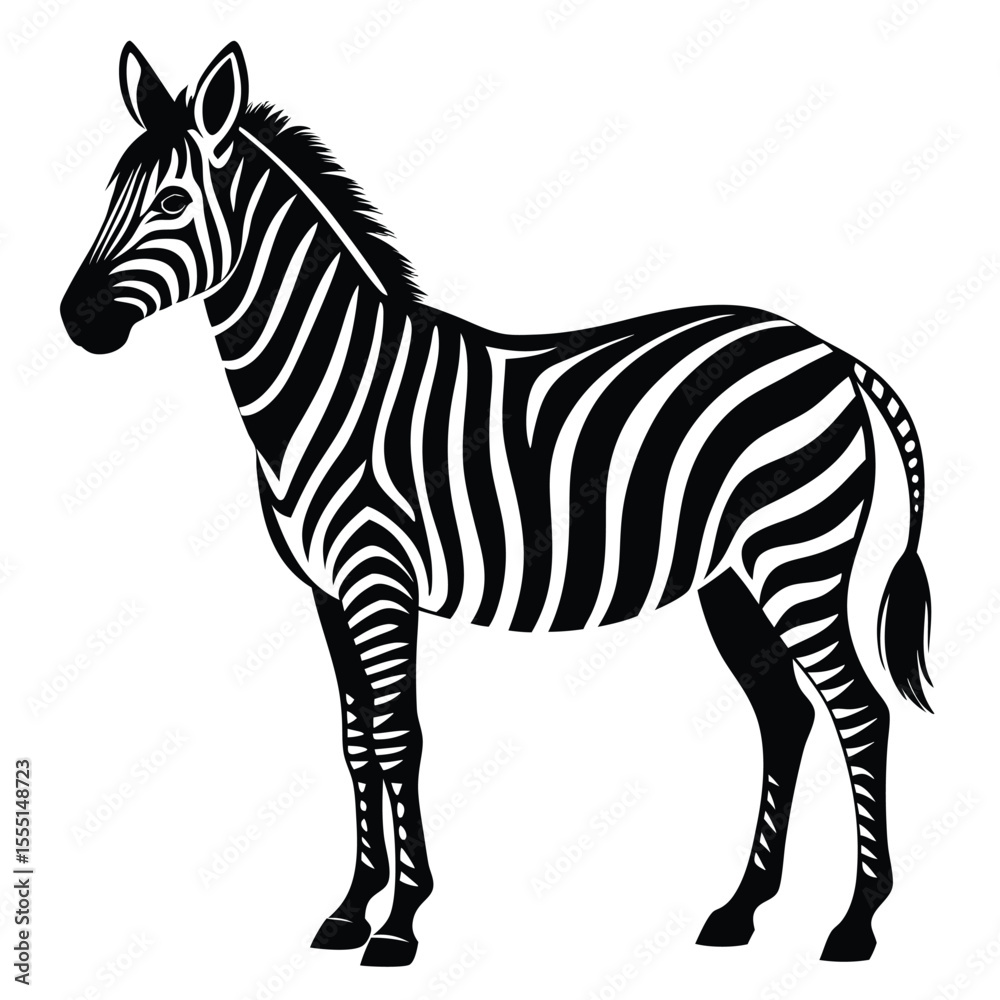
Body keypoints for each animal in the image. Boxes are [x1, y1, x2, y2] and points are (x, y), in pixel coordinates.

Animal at [61, 42, 934, 967]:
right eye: (109, 194)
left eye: (173, 202)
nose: (76, 320)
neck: (330, 386)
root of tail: (829, 352)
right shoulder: (327, 592)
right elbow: (355, 743)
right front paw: (350, 909)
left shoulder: (379, 579)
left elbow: (398, 738)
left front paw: (400, 923)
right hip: (732, 577)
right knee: (786, 716)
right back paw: (741, 910)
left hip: (797, 558)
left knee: (860, 712)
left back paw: (855, 922)